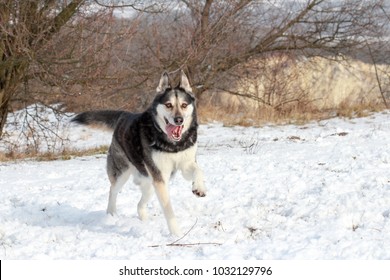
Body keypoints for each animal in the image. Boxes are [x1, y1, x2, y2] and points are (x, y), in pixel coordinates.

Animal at [73, 71, 207, 235]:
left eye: (184, 105)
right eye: (168, 105)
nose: (178, 120)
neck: (173, 144)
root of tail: (124, 115)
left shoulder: (185, 165)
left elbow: (198, 170)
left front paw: (199, 188)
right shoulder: (160, 177)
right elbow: (168, 208)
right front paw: (176, 233)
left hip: (149, 184)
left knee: (139, 204)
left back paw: (143, 220)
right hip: (123, 173)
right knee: (112, 190)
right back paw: (111, 214)